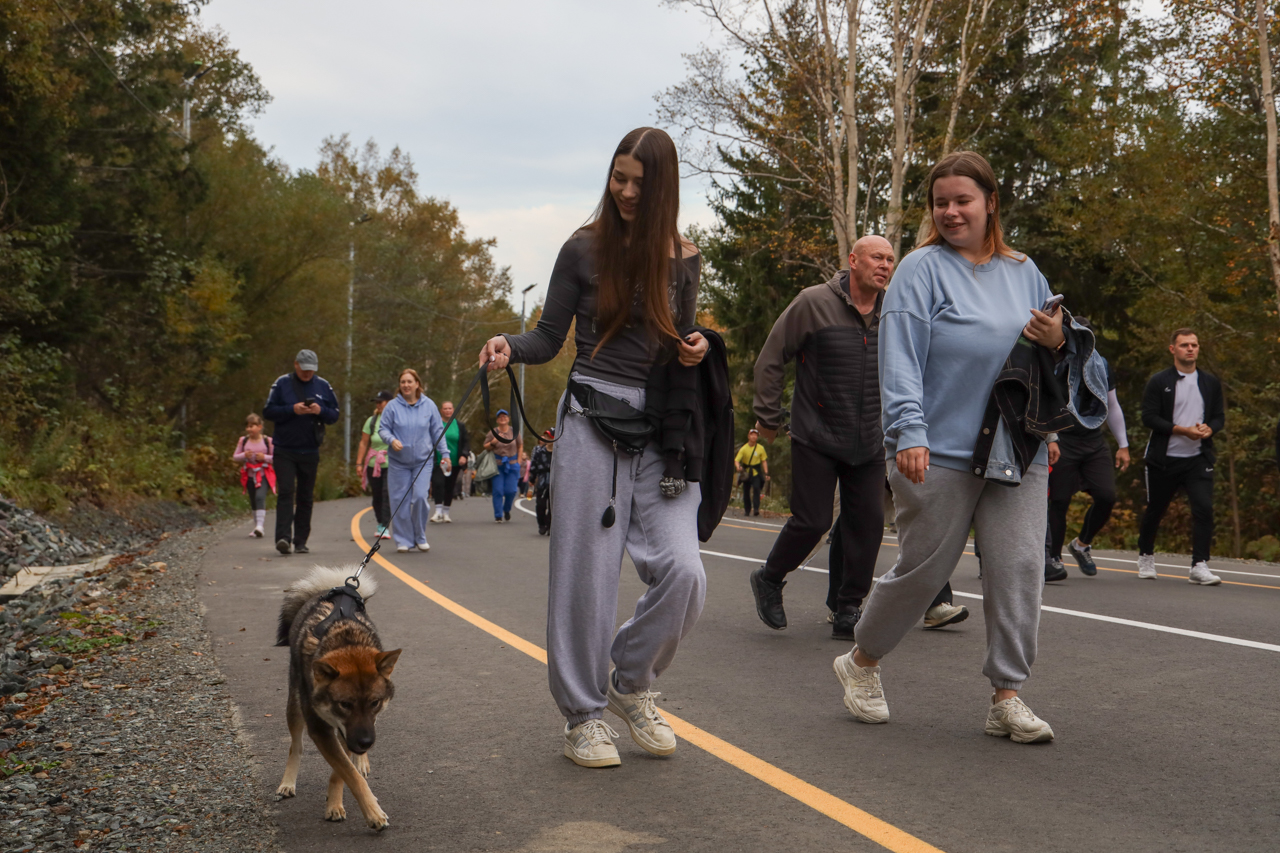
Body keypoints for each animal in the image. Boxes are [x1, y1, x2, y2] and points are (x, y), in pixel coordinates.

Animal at [273, 568, 399, 824]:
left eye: (375, 702)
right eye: (345, 704)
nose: (366, 742)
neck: (346, 641)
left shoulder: (350, 732)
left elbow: (341, 772)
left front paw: (334, 804)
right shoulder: (322, 731)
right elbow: (347, 773)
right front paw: (373, 813)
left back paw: (362, 761)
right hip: (294, 706)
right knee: (295, 746)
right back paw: (287, 782)